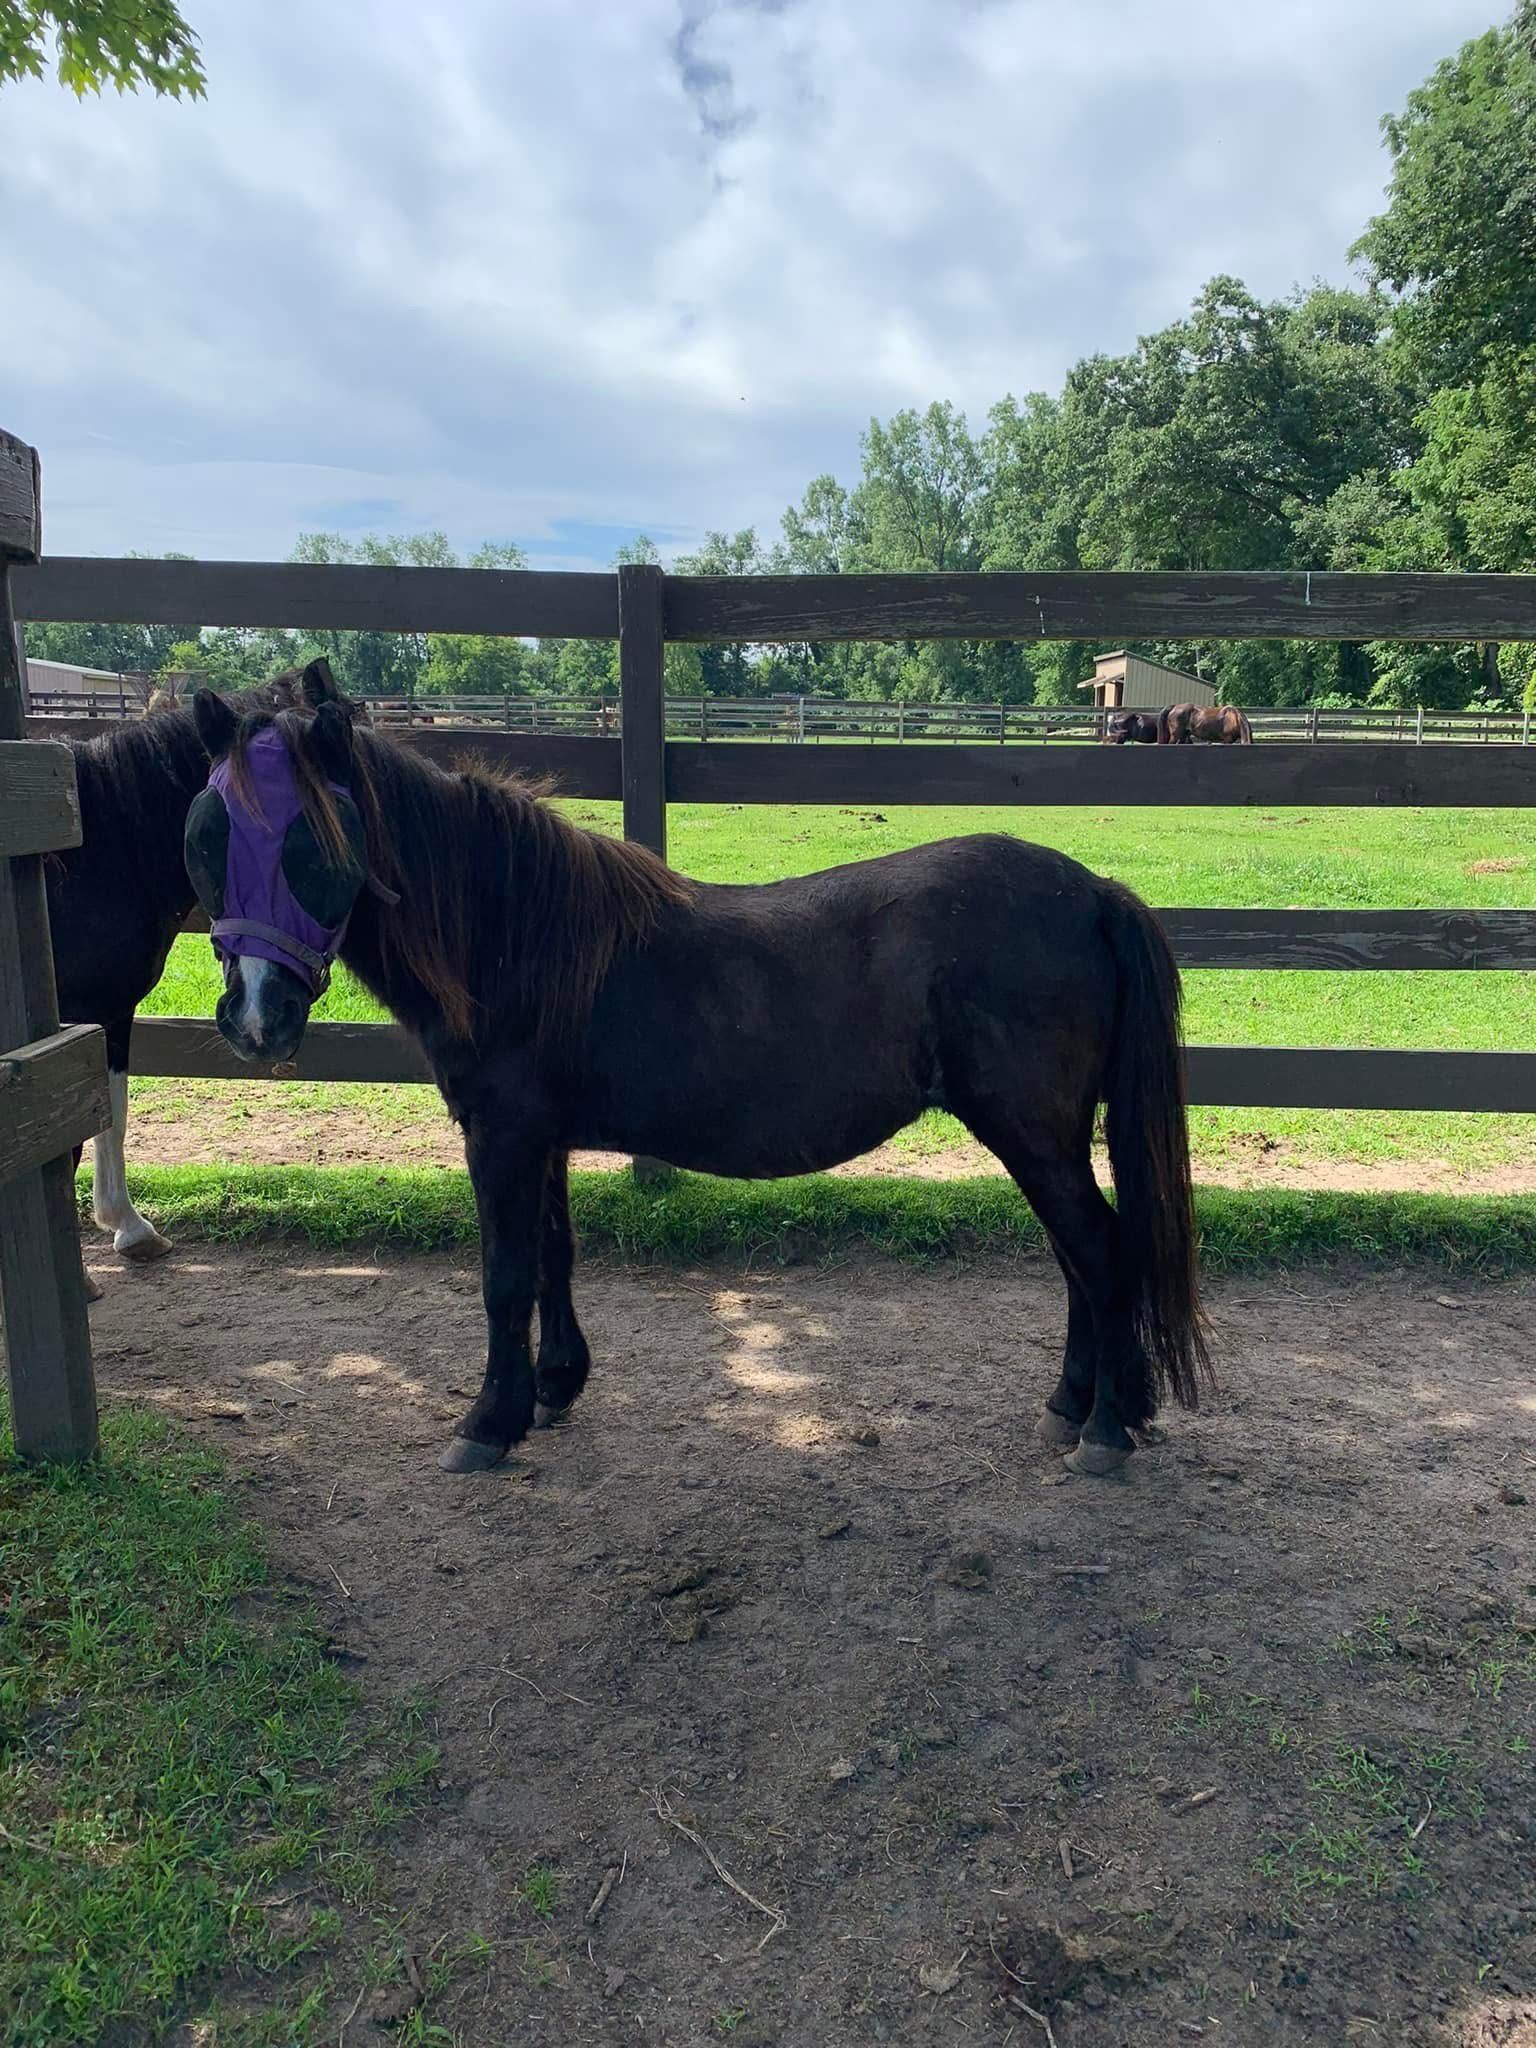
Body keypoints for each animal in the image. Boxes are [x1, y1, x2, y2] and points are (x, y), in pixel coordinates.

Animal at [184, 687, 1212, 1480]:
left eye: (312, 843)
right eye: (204, 836)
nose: (255, 1020)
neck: (515, 935)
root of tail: (1092, 892)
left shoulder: (501, 1136)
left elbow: (504, 1276)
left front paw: (486, 1424)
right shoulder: (541, 1139)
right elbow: (553, 1258)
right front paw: (554, 1388)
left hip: (1031, 1132)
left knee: (1099, 1253)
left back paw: (1106, 1429)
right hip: (1042, 1137)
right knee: (1079, 1260)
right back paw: (1073, 1405)